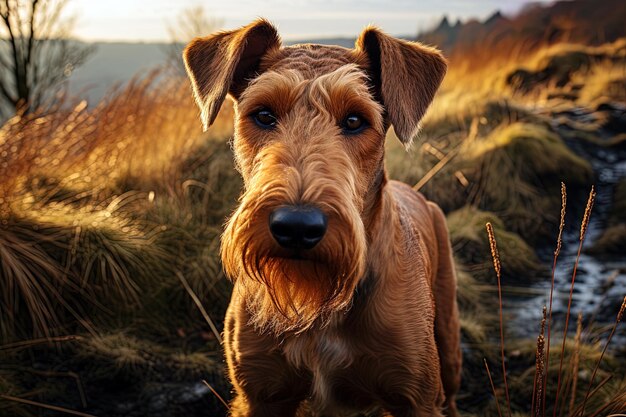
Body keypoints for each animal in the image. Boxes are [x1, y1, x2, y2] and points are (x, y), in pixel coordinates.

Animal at [183, 17, 460, 414]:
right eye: (263, 114)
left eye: (355, 120)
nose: (297, 227)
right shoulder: (260, 395)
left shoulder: (415, 398)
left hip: (448, 341)